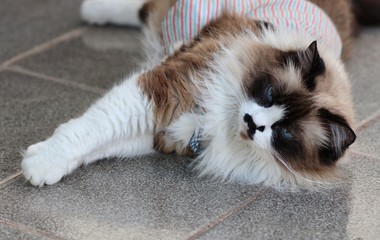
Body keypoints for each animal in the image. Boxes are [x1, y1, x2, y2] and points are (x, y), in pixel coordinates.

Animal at [20, 0, 362, 190]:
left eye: (285, 134)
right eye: (268, 93)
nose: (253, 123)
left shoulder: (167, 134)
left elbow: (99, 144)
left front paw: (47, 166)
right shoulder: (167, 89)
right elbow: (92, 128)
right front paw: (39, 164)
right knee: (144, 9)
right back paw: (92, 10)